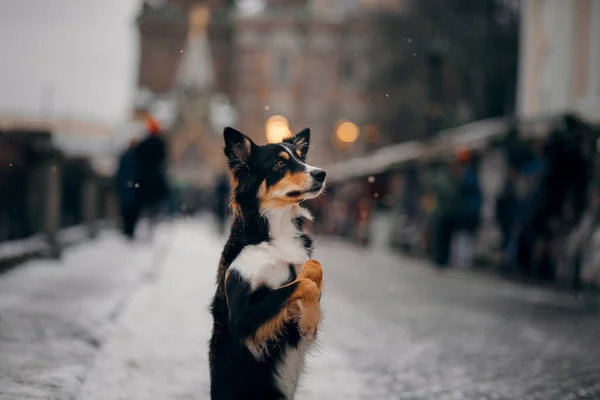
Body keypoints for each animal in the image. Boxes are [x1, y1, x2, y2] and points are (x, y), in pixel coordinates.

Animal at [209, 126, 326, 400]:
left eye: (301, 158)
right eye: (280, 163)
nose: (321, 174)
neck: (276, 228)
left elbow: (312, 269)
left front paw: (310, 320)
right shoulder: (242, 317)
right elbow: (303, 284)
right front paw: (309, 324)